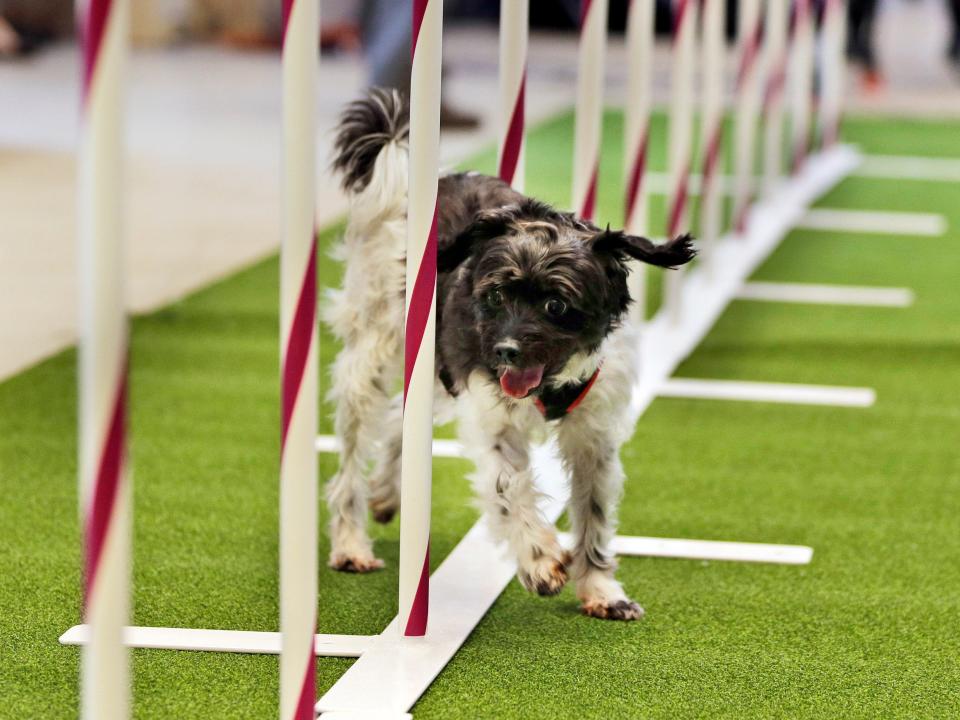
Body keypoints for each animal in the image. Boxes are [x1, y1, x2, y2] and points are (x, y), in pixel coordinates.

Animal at [326, 88, 692, 620]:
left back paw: (388, 493)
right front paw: (539, 560)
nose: (504, 351)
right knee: (351, 459)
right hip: (373, 356)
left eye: (556, 304)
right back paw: (351, 543)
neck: (551, 383)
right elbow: (509, 485)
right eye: (497, 295)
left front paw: (601, 590)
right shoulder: (491, 414)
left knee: (398, 417)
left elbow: (595, 512)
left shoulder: (595, 434)